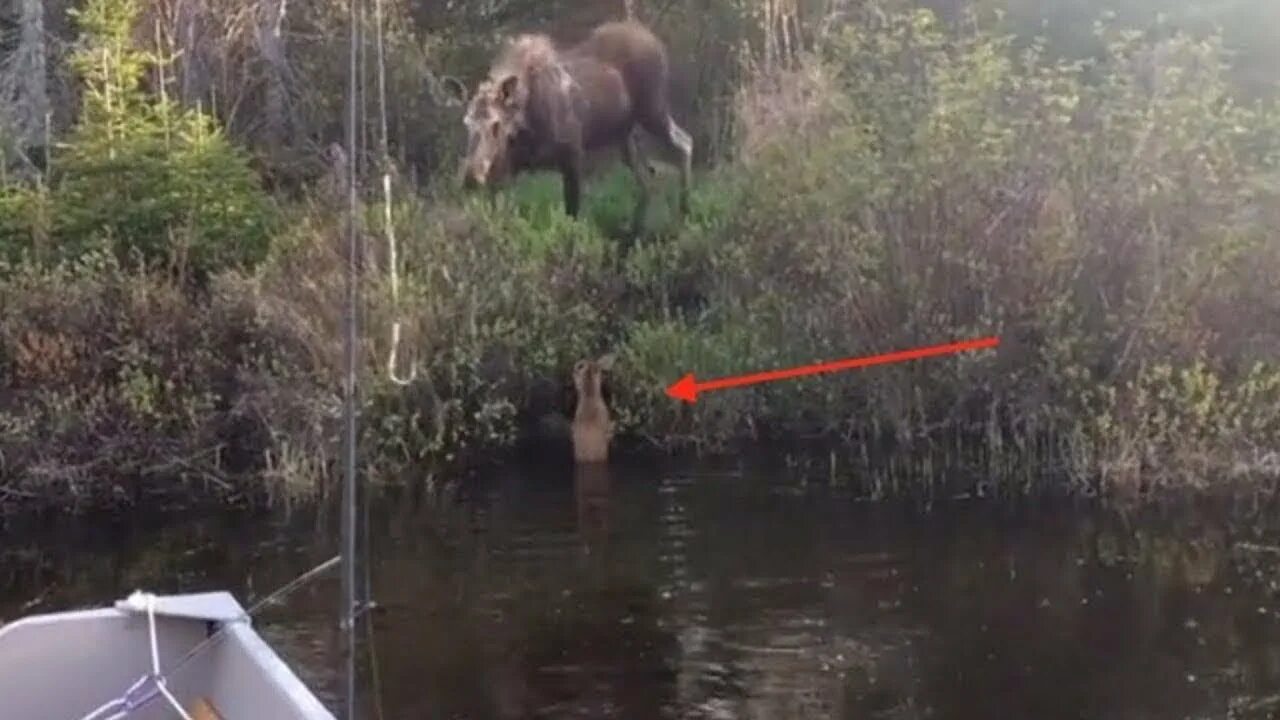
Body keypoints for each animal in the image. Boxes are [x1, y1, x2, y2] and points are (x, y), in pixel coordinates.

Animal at [445, 20, 696, 224]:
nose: (470, 177)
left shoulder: (572, 155)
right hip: (624, 132)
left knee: (684, 142)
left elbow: (572, 219)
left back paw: (685, 209)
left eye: (496, 124)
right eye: (467, 122)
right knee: (646, 177)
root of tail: (653, 38)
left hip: (652, 109)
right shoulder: (506, 171)